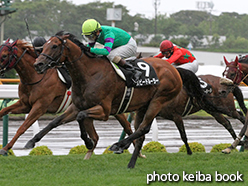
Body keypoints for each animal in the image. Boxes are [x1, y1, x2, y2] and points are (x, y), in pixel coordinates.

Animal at [0, 38, 134, 155]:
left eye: (4, 56)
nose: (38, 64)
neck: (36, 77)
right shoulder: (25, 104)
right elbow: (4, 111)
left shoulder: (40, 106)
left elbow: (23, 127)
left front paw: (6, 148)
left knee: (127, 125)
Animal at [33, 31, 182, 168]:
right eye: (43, 47)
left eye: (54, 46)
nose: (38, 64)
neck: (89, 74)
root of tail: (173, 69)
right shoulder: (77, 106)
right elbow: (59, 121)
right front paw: (33, 140)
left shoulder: (104, 111)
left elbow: (81, 116)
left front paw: (89, 143)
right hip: (143, 105)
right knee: (140, 131)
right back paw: (130, 160)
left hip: (158, 100)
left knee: (143, 128)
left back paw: (118, 146)